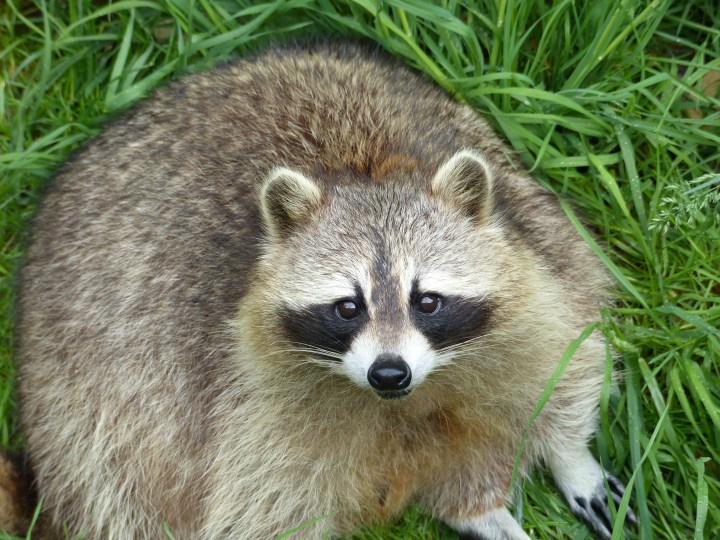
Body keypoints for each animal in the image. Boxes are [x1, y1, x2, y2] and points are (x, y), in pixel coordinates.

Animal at [13, 42, 635, 539]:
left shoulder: (542, 264)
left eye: (426, 301)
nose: (390, 372)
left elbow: (567, 364)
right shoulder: (249, 415)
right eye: (347, 307)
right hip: (85, 414)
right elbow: (260, 510)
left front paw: (571, 457)